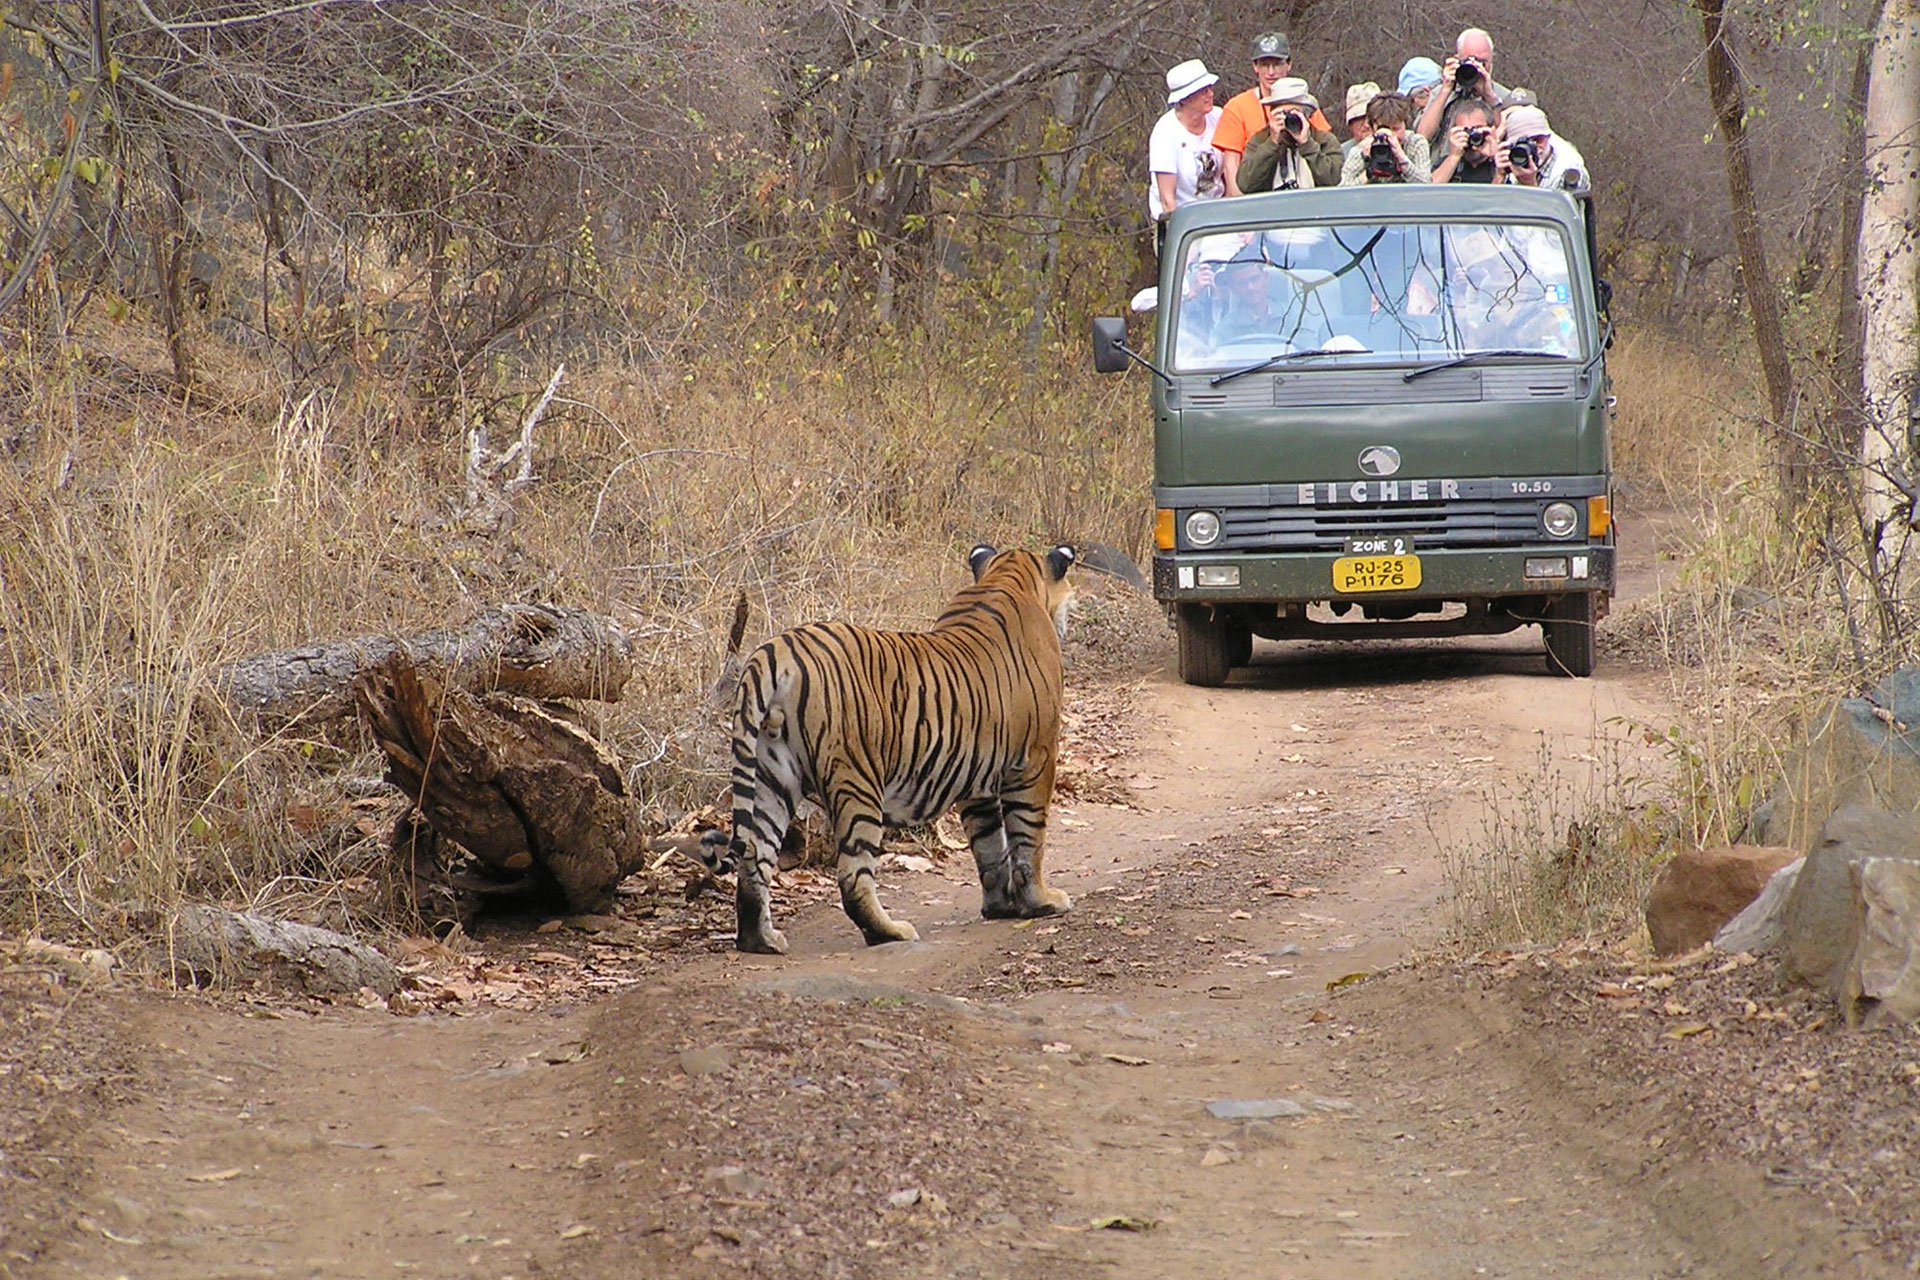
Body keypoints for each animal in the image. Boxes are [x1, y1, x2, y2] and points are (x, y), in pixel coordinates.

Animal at [702, 545, 1082, 955]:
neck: (1007, 576)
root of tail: (775, 653)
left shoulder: (977, 774)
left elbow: (989, 842)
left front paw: (1001, 906)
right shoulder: (1037, 758)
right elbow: (1029, 837)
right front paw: (1041, 902)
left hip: (770, 776)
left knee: (755, 858)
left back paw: (762, 940)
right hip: (858, 782)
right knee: (852, 875)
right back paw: (890, 931)